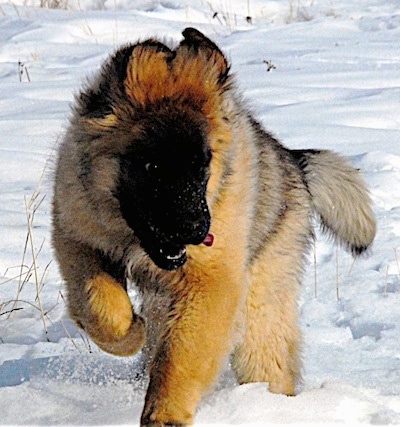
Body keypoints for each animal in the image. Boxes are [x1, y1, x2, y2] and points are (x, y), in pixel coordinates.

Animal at [52, 28, 376, 426]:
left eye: (202, 163)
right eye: (152, 167)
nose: (196, 228)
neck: (133, 237)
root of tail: (291, 161)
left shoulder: (212, 281)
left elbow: (179, 358)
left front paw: (165, 414)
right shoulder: (76, 235)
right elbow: (98, 306)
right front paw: (131, 333)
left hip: (260, 304)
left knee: (269, 361)